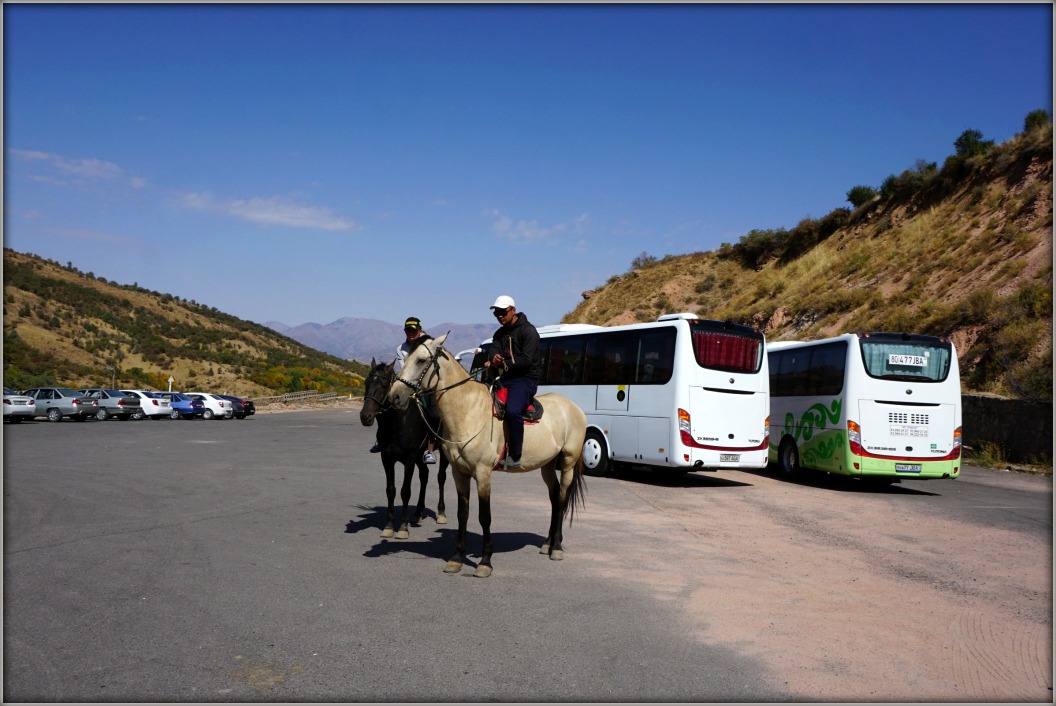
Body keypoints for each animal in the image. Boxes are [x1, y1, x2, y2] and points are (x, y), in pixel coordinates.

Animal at [361, 358, 447, 540]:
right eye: (366, 382)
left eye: (384, 385)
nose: (365, 416)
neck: (397, 422)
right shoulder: (387, 458)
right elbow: (391, 490)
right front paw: (388, 526)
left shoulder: (409, 459)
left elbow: (405, 491)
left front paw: (402, 528)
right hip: (420, 456)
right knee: (424, 476)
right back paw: (418, 513)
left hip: (442, 453)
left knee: (441, 477)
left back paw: (441, 513)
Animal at [386, 333, 587, 574]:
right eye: (405, 358)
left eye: (421, 360)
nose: (395, 396)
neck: (468, 411)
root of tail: (574, 408)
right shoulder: (459, 473)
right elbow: (463, 514)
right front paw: (456, 558)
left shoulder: (483, 473)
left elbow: (484, 516)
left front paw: (485, 562)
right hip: (547, 465)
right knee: (555, 499)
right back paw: (547, 544)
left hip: (568, 461)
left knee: (563, 498)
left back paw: (556, 547)